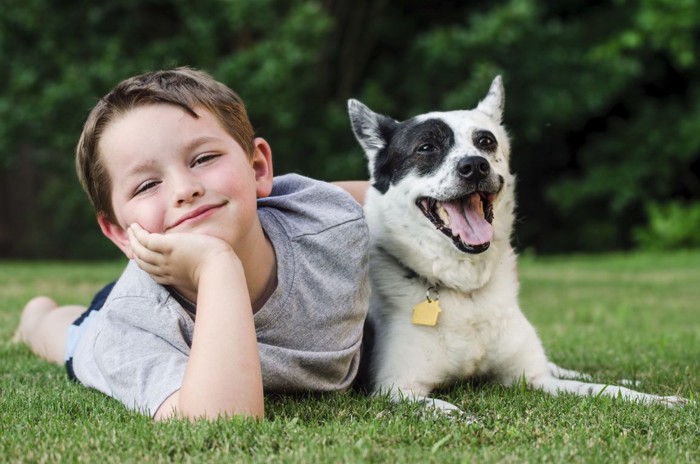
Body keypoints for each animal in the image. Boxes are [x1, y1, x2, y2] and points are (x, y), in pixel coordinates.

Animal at [348, 76, 688, 414]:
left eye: (486, 141)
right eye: (426, 147)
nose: (475, 166)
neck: (467, 291)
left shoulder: (534, 378)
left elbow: (605, 390)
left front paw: (657, 399)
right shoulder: (396, 388)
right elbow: (441, 408)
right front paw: (462, 417)